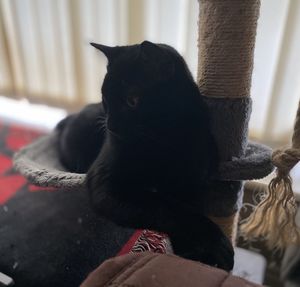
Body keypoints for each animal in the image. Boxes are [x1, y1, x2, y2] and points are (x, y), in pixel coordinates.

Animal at [56, 41, 234, 272]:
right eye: (105, 98)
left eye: (133, 100)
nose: (110, 126)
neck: (161, 142)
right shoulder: (108, 184)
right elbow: (167, 207)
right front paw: (216, 246)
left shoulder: (192, 184)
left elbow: (187, 207)